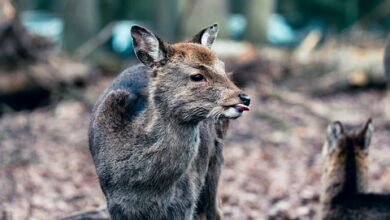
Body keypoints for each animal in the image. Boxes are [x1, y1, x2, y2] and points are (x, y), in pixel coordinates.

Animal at [88, 24, 250, 220]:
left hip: (215, 161)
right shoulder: (115, 205)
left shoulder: (185, 201)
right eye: (197, 76)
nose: (244, 97)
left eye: (222, 67)